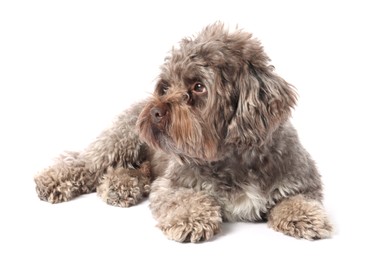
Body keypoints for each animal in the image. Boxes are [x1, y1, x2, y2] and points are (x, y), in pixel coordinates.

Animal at [34, 22, 332, 242]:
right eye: (165, 86)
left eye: (199, 87)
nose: (155, 111)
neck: (235, 157)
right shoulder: (173, 184)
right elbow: (186, 199)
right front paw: (191, 218)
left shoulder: (303, 180)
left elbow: (297, 199)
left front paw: (305, 216)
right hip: (121, 140)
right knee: (85, 163)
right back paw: (56, 180)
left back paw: (121, 184)